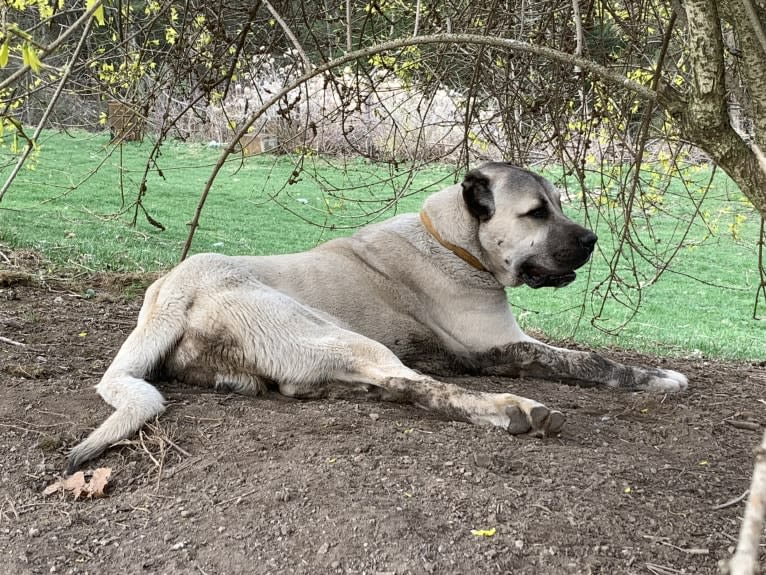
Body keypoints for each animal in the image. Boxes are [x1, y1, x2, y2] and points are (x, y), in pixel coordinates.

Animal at [67, 162, 688, 472]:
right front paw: (659, 377)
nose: (592, 240)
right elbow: (592, 361)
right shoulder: (501, 346)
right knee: (426, 386)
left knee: (397, 387)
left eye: (558, 205)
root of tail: (177, 287)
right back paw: (511, 410)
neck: (456, 242)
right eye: (536, 212)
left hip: (315, 356)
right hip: (343, 337)